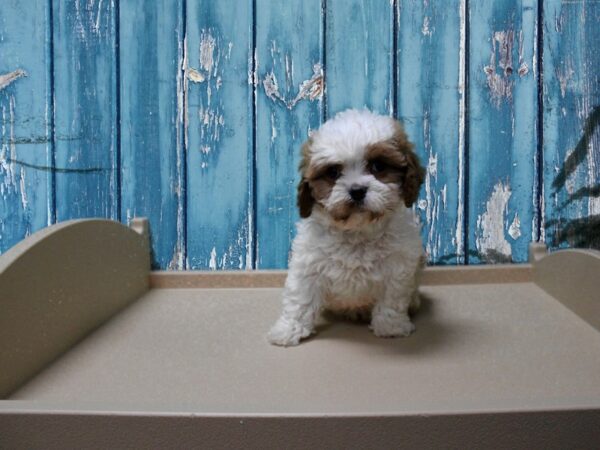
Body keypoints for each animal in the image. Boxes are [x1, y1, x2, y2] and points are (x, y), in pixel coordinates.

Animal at [268, 109, 426, 348]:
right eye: (333, 172)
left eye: (378, 167)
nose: (357, 190)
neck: (357, 232)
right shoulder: (308, 264)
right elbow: (300, 299)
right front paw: (288, 330)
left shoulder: (398, 267)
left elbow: (391, 299)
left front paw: (391, 327)